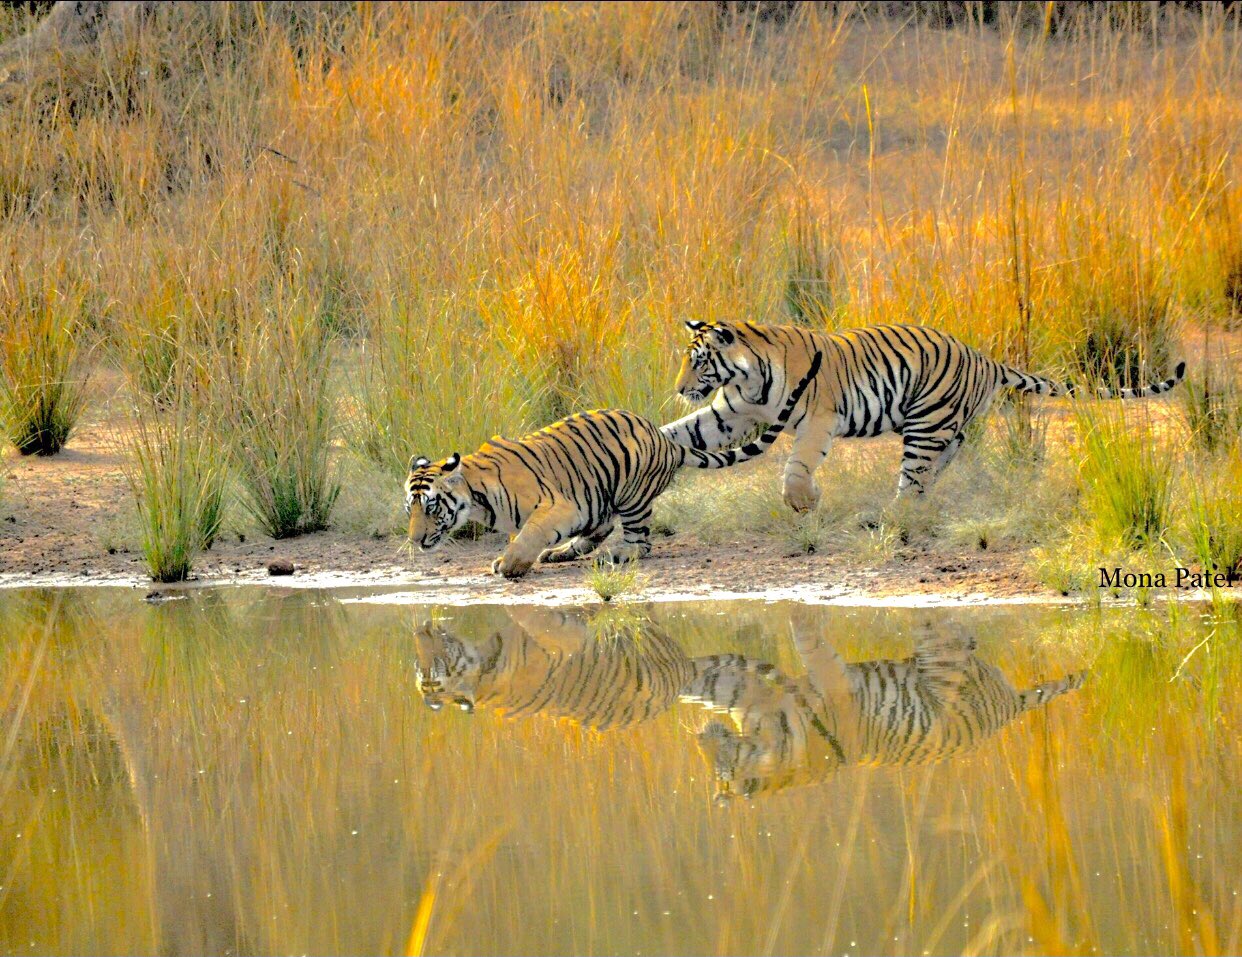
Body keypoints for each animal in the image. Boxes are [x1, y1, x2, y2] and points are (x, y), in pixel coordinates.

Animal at [402, 352, 819, 575]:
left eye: (432, 506)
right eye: (410, 508)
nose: (415, 540)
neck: (477, 498)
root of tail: (666, 441)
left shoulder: (557, 505)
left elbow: (529, 534)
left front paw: (510, 564)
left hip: (630, 494)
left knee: (640, 542)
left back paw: (611, 556)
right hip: (598, 497)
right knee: (599, 528)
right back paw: (562, 553)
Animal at [665, 322, 1187, 513]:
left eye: (699, 361)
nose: (679, 388)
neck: (749, 377)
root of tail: (984, 359)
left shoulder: (818, 418)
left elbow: (798, 465)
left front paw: (805, 501)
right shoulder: (731, 413)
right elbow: (685, 432)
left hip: (926, 420)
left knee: (914, 477)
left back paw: (891, 517)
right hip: (946, 427)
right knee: (935, 468)